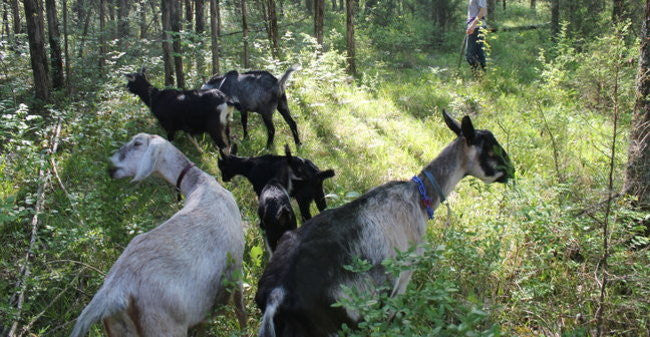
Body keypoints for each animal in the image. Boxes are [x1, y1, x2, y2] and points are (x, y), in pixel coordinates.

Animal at [69, 133, 246, 336]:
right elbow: (240, 308)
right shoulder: (237, 265)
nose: (111, 167)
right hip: (164, 327)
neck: (201, 186)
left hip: (117, 329)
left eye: (137, 143)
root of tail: (114, 291)